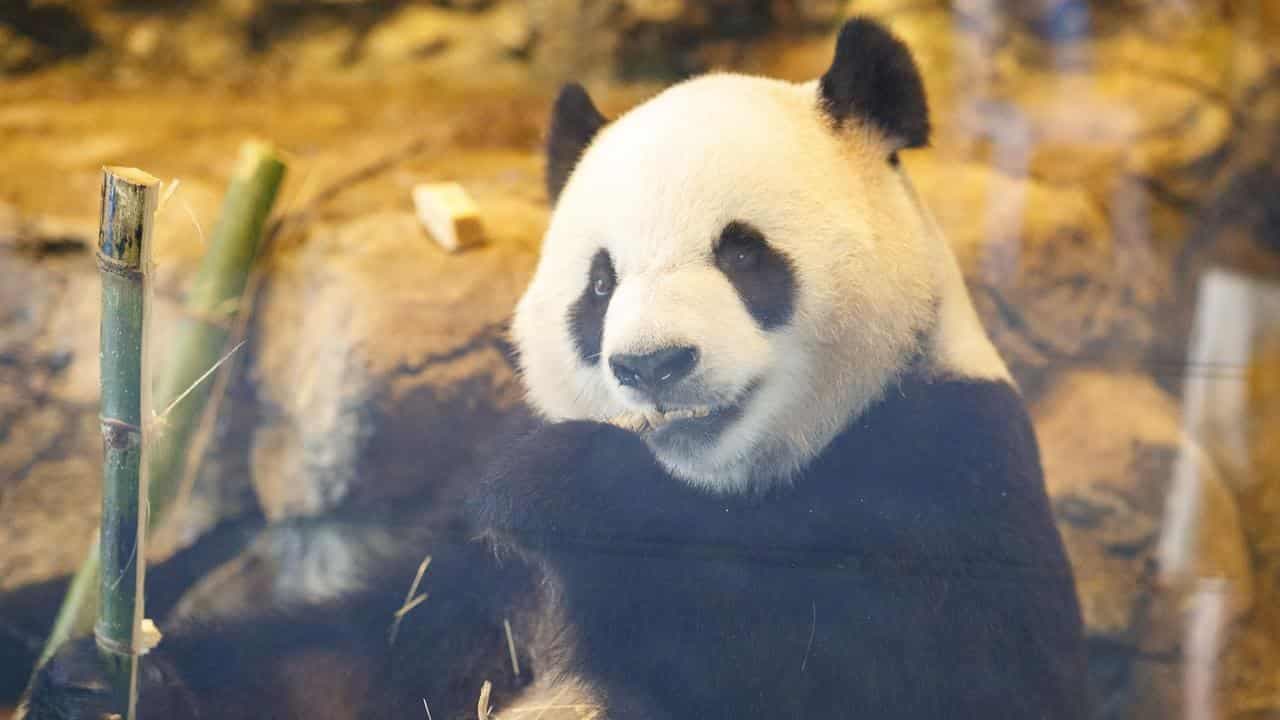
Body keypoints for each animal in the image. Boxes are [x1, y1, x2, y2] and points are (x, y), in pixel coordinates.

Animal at [21, 17, 1088, 720]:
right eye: (600, 283)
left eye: (744, 255)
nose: (654, 365)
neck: (723, 490)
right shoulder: (484, 587)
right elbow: (359, 662)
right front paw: (100, 678)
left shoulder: (947, 467)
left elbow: (895, 668)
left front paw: (560, 485)